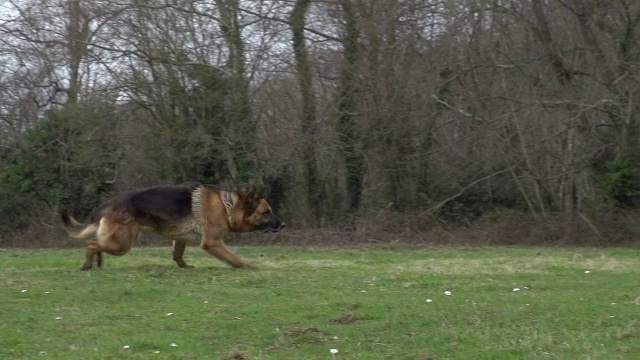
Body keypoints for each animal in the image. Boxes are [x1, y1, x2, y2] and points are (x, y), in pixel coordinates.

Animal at [60, 183, 284, 270]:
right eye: (267, 212)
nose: (284, 224)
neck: (226, 206)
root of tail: (105, 205)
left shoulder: (180, 238)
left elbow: (177, 254)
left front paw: (184, 266)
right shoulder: (212, 242)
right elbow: (233, 258)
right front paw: (247, 266)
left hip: (118, 242)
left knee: (96, 243)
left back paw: (97, 262)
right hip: (122, 244)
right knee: (91, 244)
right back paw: (87, 264)